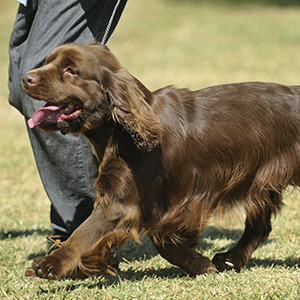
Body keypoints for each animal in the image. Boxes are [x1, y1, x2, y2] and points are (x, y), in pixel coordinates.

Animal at [22, 41, 300, 278]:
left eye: (71, 70)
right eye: (48, 61)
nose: (26, 79)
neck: (120, 131)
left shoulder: (123, 202)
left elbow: (84, 232)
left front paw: (51, 263)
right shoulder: (157, 201)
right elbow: (162, 242)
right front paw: (200, 264)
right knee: (260, 226)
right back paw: (231, 258)